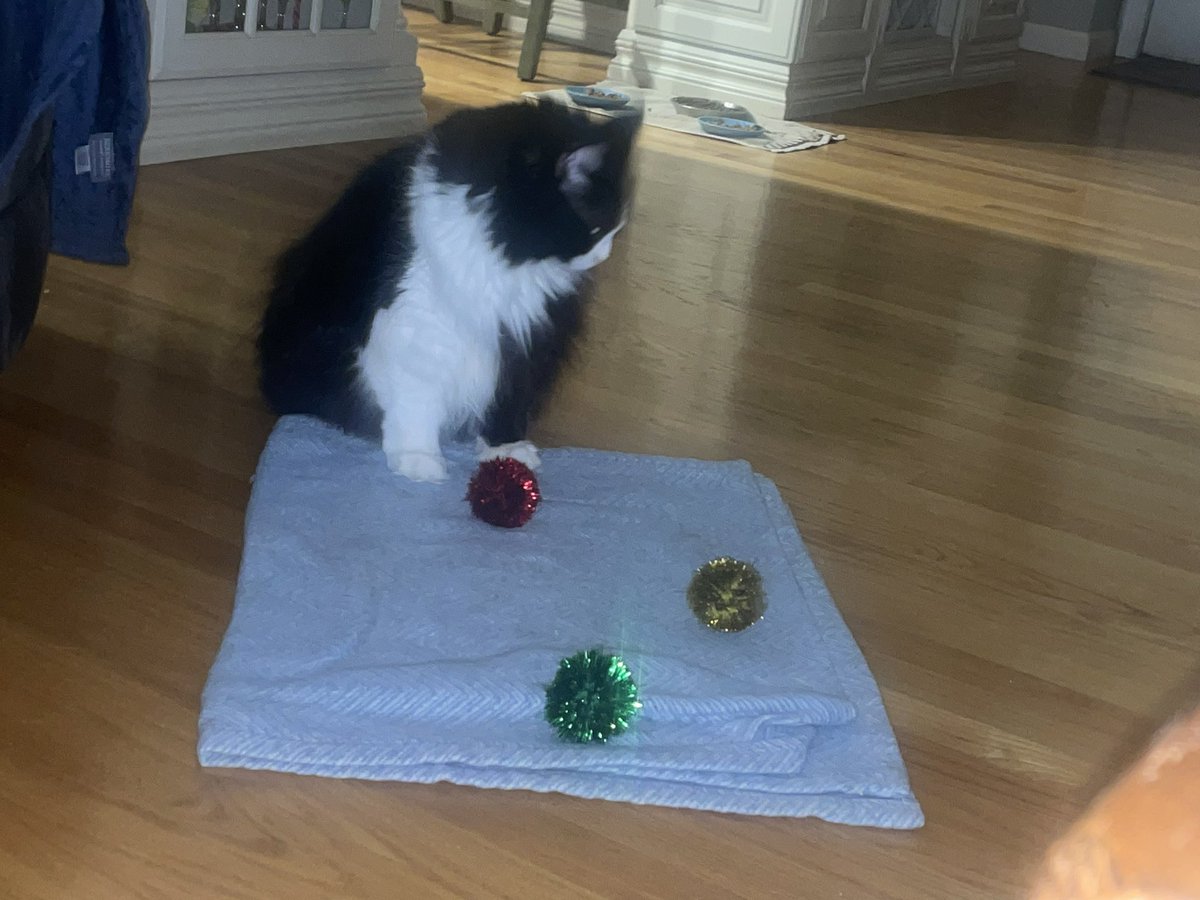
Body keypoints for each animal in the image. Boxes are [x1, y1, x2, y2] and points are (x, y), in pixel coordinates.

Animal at [259, 99, 643, 482]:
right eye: (598, 230)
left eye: (615, 232)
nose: (605, 255)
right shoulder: (417, 322)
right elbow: (416, 401)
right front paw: (418, 459)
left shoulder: (523, 340)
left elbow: (505, 399)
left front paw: (505, 450)